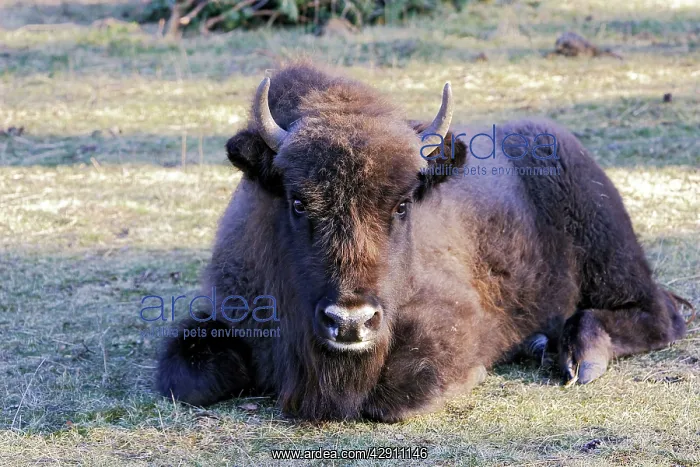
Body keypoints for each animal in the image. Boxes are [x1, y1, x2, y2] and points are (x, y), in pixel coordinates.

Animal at [156, 62, 691, 422]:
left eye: (402, 205)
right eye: (298, 202)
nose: (351, 322)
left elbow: (403, 391)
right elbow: (185, 377)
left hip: (613, 257)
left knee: (658, 313)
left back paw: (578, 357)